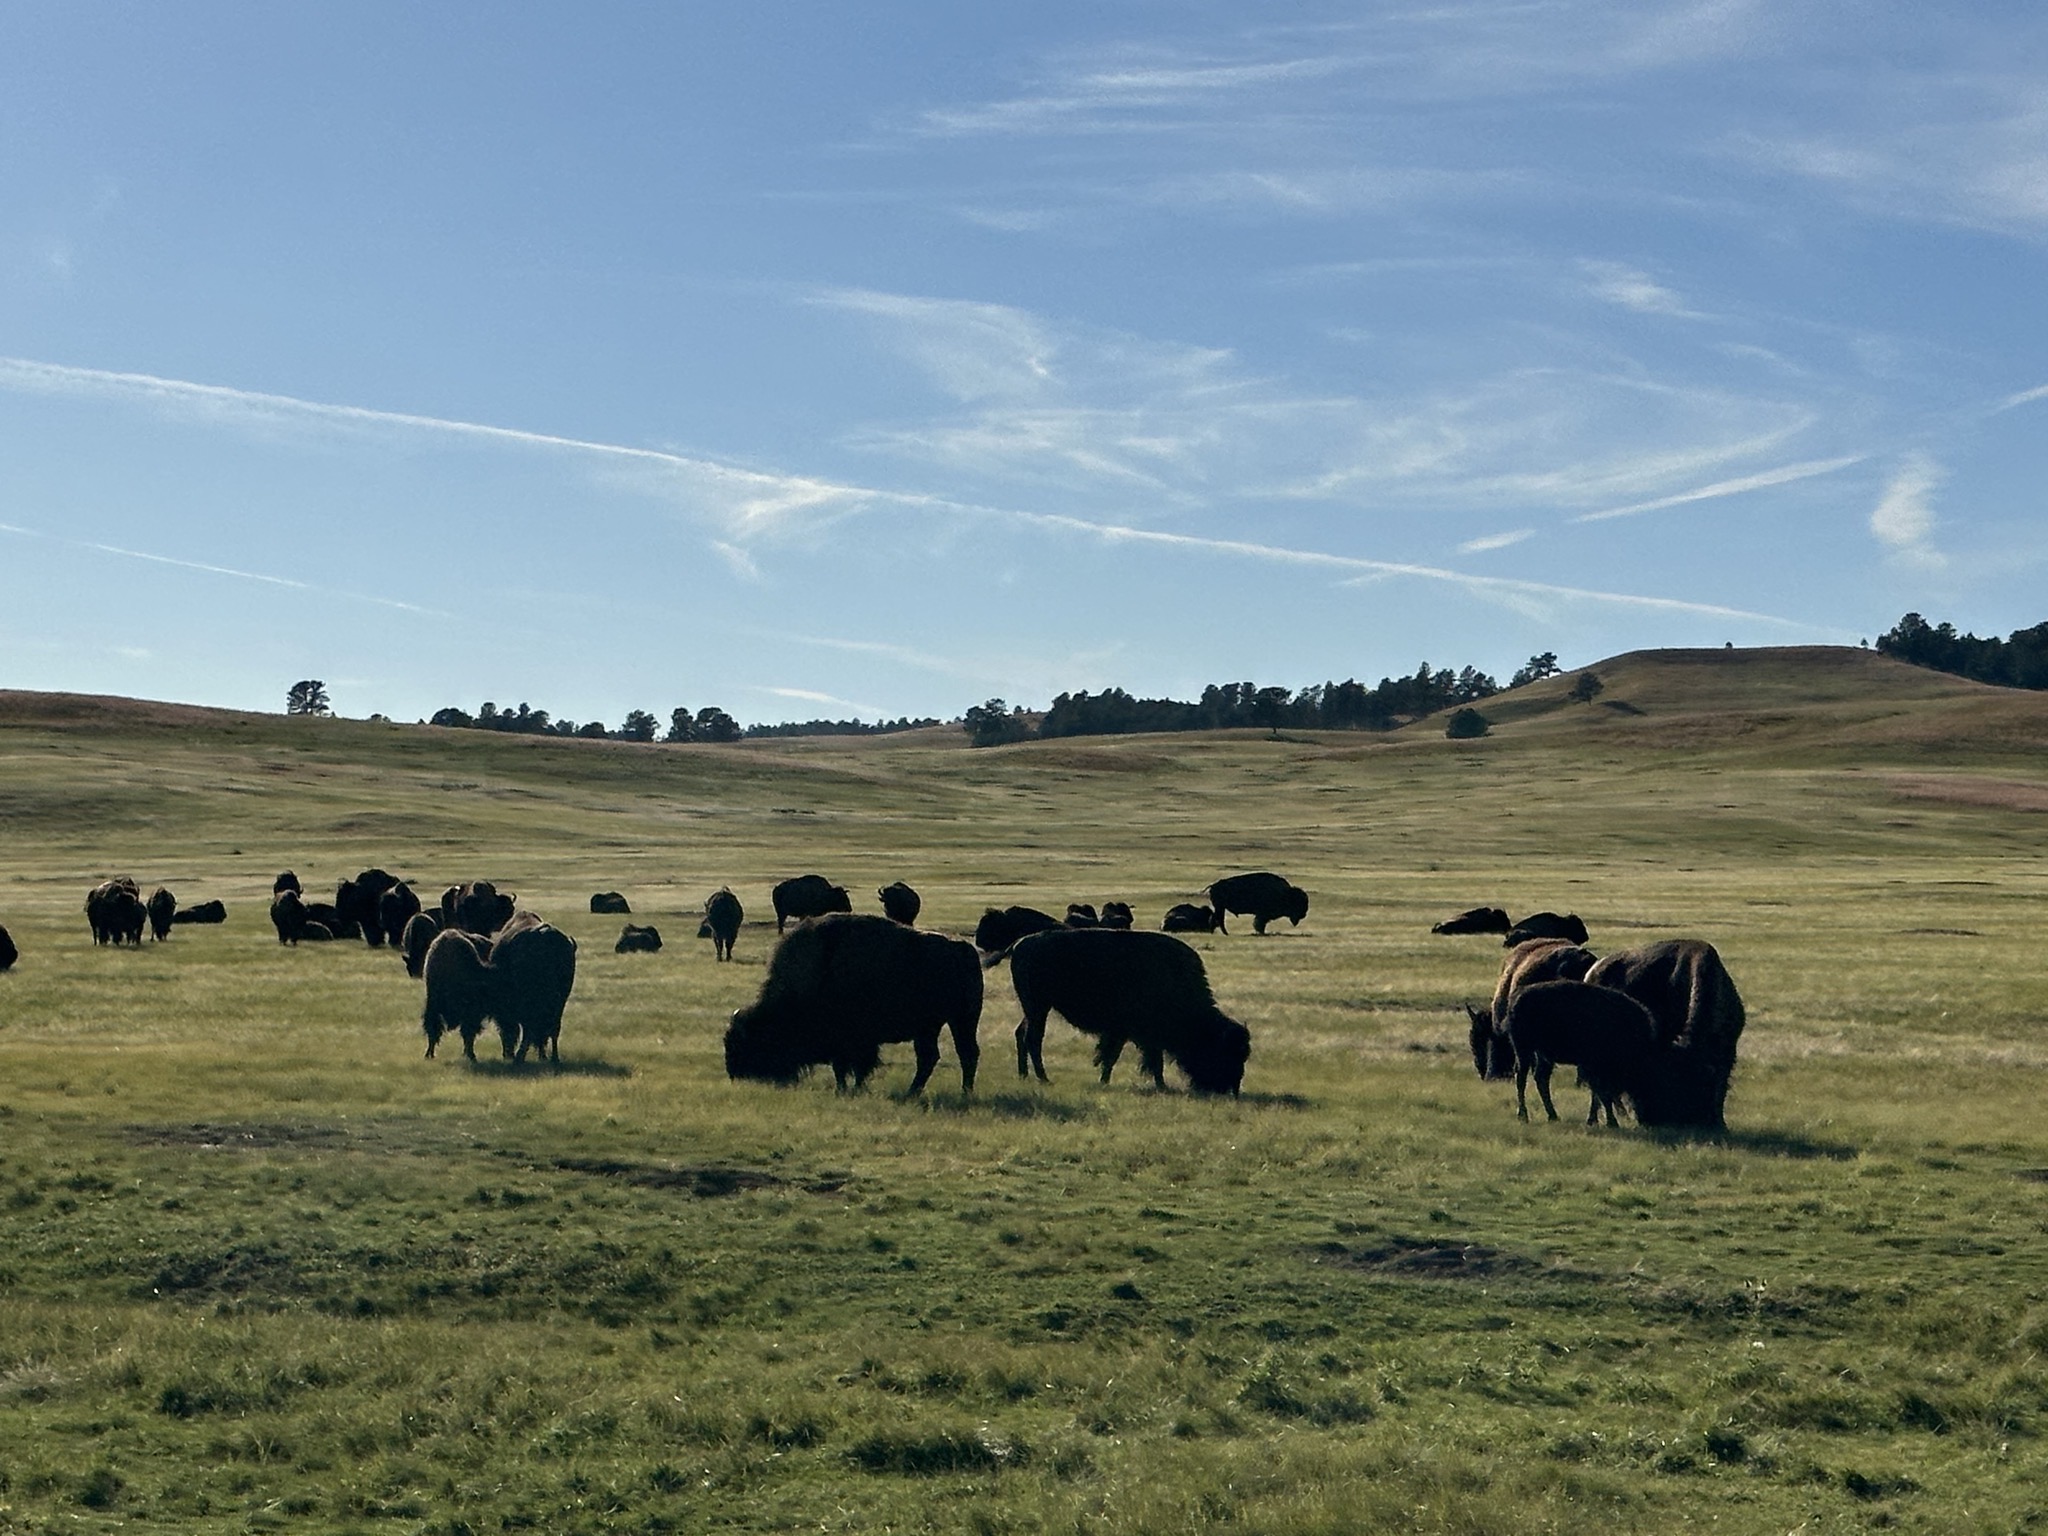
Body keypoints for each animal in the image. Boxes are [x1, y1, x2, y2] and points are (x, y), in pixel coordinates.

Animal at [724, 913, 981, 1094]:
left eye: (740, 1042)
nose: (734, 1073)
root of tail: (965, 950)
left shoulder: (851, 1041)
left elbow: (849, 1066)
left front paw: (848, 1089)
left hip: (961, 1020)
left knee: (963, 1054)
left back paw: (959, 1093)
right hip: (936, 1026)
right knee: (936, 1057)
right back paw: (920, 1093)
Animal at [1005, 928, 1250, 1095]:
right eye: (1223, 1053)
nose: (1231, 1089)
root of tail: (1019, 944)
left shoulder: (1131, 1034)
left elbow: (1133, 1058)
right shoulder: (1132, 1033)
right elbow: (1126, 1058)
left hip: (1033, 1008)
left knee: (1021, 1034)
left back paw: (1024, 1076)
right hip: (1038, 1007)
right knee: (1033, 1039)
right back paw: (1043, 1079)